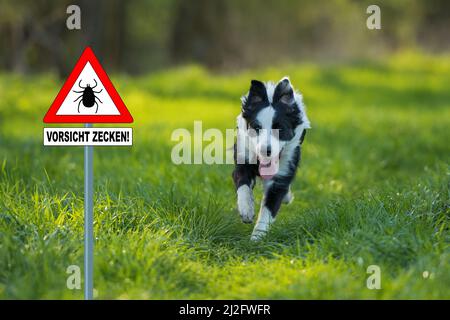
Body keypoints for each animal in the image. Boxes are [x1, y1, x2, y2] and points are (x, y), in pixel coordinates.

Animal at [232, 78, 310, 240]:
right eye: (256, 127)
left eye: (280, 128)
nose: (265, 150)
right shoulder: (243, 159)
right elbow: (243, 184)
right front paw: (246, 210)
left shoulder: (282, 174)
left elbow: (268, 210)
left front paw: (256, 238)